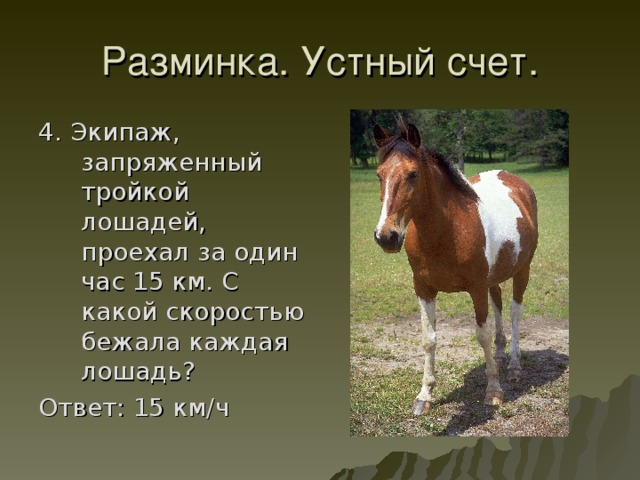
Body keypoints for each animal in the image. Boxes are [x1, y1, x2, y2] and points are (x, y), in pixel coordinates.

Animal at [372, 122, 538, 415]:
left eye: (413, 174)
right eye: (380, 174)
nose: (386, 236)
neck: (448, 230)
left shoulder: (476, 288)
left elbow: (482, 335)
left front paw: (493, 390)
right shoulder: (424, 289)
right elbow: (428, 338)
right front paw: (424, 395)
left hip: (522, 270)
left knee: (515, 312)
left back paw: (514, 366)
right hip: (494, 277)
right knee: (498, 304)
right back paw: (499, 354)